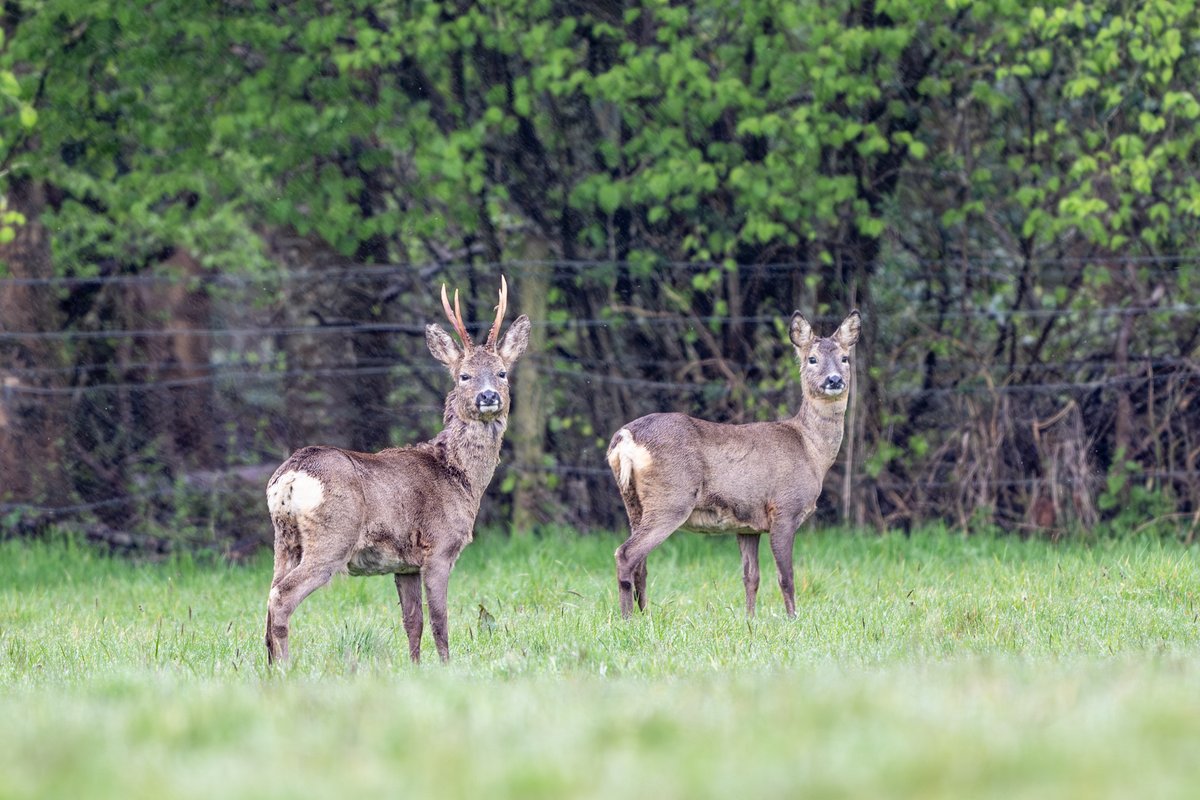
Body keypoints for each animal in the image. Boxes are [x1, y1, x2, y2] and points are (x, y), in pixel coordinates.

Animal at [267, 278, 530, 666]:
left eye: (502, 372)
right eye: (464, 375)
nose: (487, 396)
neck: (460, 477)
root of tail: (290, 476)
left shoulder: (404, 564)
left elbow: (412, 622)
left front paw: (416, 667)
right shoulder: (439, 548)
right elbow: (439, 620)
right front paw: (447, 667)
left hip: (284, 541)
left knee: (268, 596)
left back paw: (269, 666)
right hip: (332, 536)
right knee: (282, 597)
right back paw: (285, 668)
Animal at [609, 309, 864, 618]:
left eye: (845, 358)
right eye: (812, 358)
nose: (834, 380)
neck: (811, 450)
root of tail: (625, 438)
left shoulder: (747, 524)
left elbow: (751, 577)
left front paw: (749, 619)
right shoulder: (785, 508)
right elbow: (786, 577)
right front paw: (793, 619)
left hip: (633, 502)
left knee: (640, 564)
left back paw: (644, 616)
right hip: (671, 497)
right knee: (626, 554)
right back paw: (627, 619)